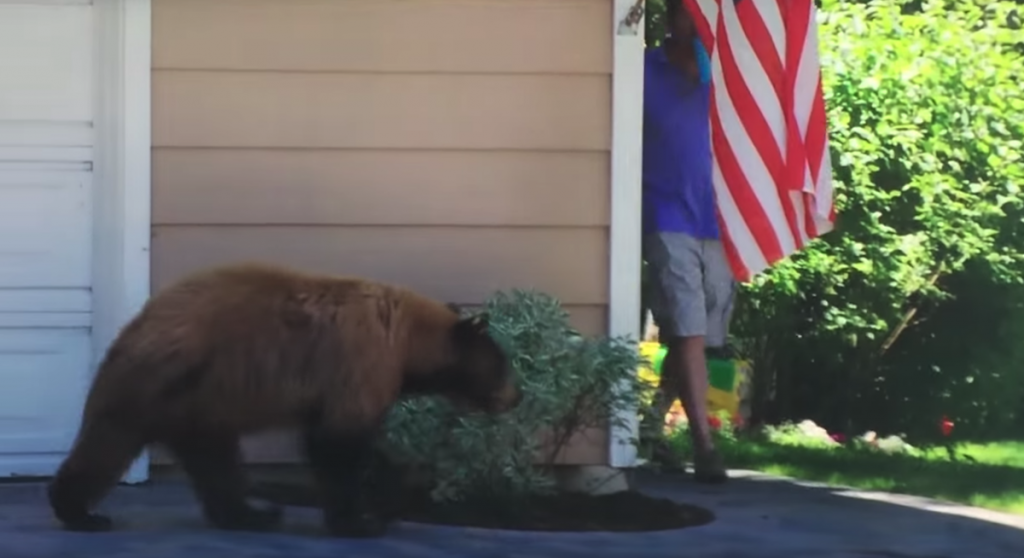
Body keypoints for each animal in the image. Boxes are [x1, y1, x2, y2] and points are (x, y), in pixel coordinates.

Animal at [45, 264, 520, 536]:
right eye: (503, 365)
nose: (515, 398)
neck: (404, 340)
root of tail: (132, 327)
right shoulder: (359, 363)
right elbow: (338, 443)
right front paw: (359, 521)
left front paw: (393, 493)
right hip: (159, 385)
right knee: (108, 443)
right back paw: (79, 512)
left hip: (200, 406)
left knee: (215, 461)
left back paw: (249, 514)